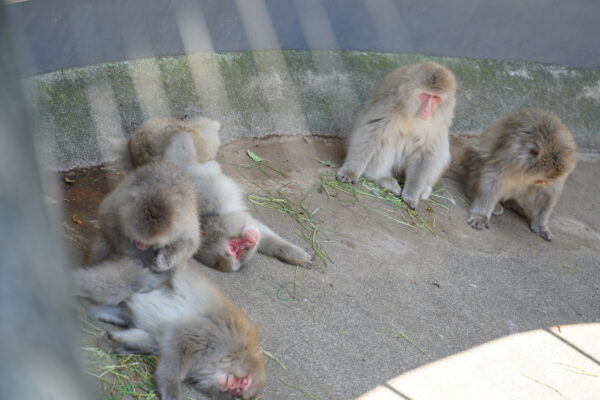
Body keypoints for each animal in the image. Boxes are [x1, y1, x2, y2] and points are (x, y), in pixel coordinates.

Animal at [72, 256, 264, 400]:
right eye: (241, 384)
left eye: (236, 391)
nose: (231, 386)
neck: (231, 353)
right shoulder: (215, 336)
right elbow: (180, 343)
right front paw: (171, 393)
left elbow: (155, 341)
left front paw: (114, 342)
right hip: (140, 271)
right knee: (113, 285)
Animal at [86, 135, 200, 272]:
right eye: (139, 240)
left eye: (148, 243)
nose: (141, 246)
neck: (158, 194)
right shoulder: (120, 205)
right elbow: (106, 217)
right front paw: (131, 251)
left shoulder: (182, 222)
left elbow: (189, 242)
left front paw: (163, 261)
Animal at [129, 125, 316, 274]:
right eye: (235, 249)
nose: (249, 242)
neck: (212, 217)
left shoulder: (209, 201)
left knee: (183, 148)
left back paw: (180, 131)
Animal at [336, 61, 458, 209]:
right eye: (425, 95)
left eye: (436, 98)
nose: (428, 110)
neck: (413, 111)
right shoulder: (391, 102)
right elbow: (372, 131)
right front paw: (350, 171)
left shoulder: (438, 121)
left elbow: (427, 151)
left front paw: (412, 194)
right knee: (386, 140)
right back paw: (381, 177)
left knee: (440, 150)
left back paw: (424, 189)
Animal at [464, 107, 576, 241]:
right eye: (540, 180)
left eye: (544, 181)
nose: (539, 183)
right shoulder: (511, 154)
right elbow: (493, 176)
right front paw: (481, 215)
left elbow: (547, 194)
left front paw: (541, 225)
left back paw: (513, 203)